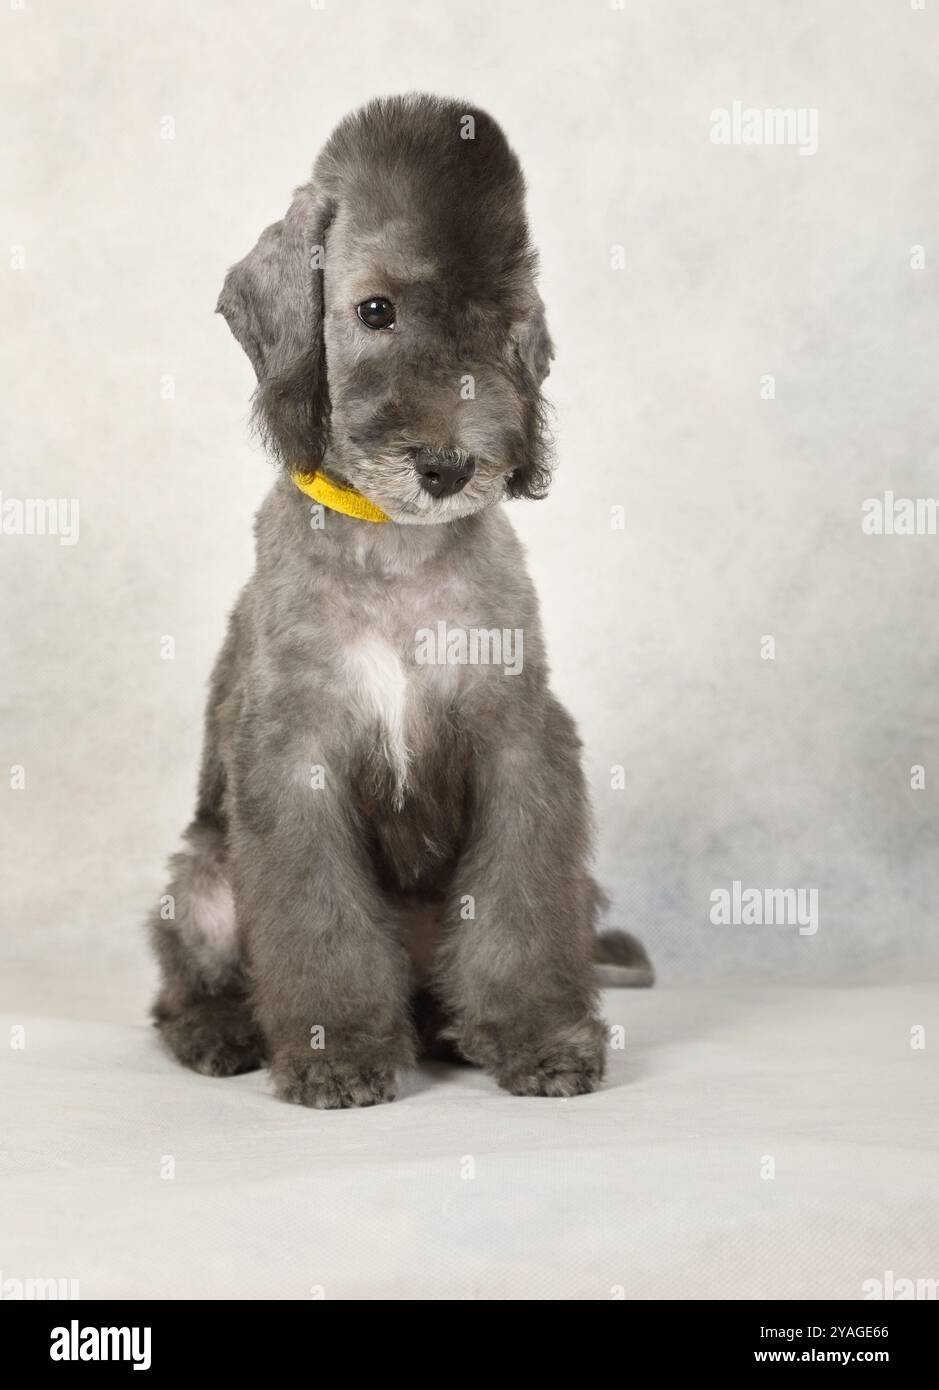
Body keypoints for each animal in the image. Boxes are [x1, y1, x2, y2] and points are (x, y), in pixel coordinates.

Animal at [148, 92, 652, 1106]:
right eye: (374, 311)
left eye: (501, 325)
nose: (450, 466)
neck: (395, 553)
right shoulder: (292, 759)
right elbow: (320, 925)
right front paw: (334, 1050)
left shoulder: (517, 744)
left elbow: (521, 915)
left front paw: (539, 1038)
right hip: (203, 882)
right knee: (181, 986)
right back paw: (223, 1032)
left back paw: (453, 1031)